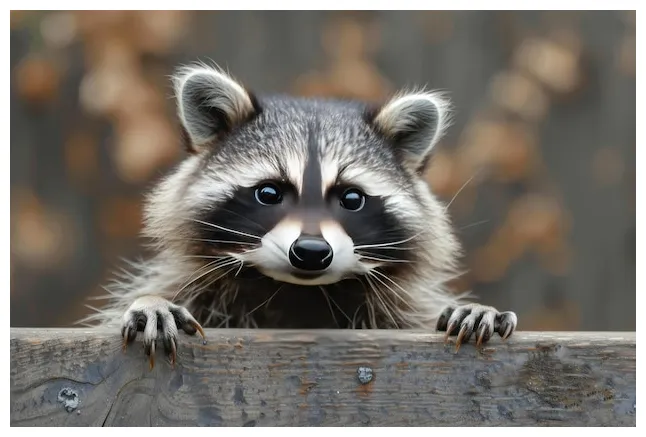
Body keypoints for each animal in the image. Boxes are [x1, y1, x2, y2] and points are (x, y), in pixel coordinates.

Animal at [84, 63, 518, 368]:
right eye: (269, 193)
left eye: (352, 198)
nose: (310, 252)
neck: (297, 292)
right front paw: (151, 301)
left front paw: (473, 309)